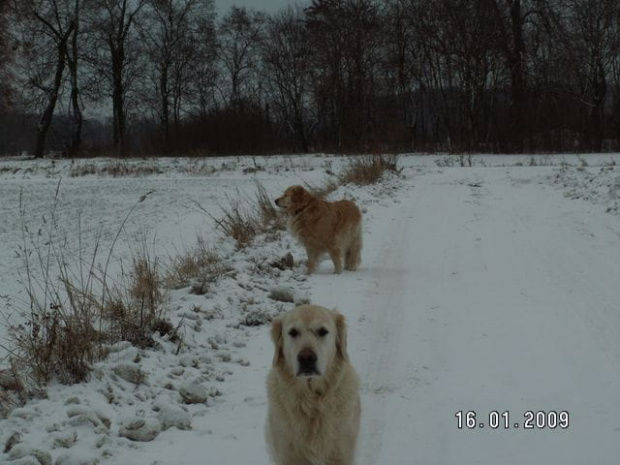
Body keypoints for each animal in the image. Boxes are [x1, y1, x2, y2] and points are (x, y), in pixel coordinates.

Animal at [266, 304, 358, 464]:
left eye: (322, 331)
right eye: (293, 332)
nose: (306, 358)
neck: (312, 401)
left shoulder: (341, 453)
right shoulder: (288, 455)